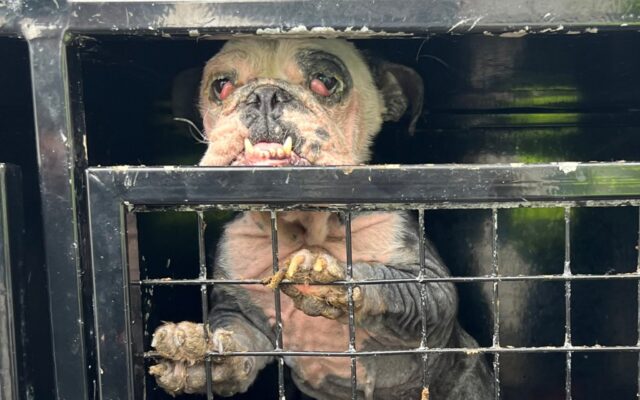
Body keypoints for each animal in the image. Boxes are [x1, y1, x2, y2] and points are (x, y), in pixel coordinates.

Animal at [148, 38, 492, 400]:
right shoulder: (241, 311)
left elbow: (398, 289)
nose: (266, 95)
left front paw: (328, 276)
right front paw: (196, 355)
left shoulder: (428, 283)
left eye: (325, 82)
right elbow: (238, 338)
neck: (304, 227)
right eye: (221, 86)